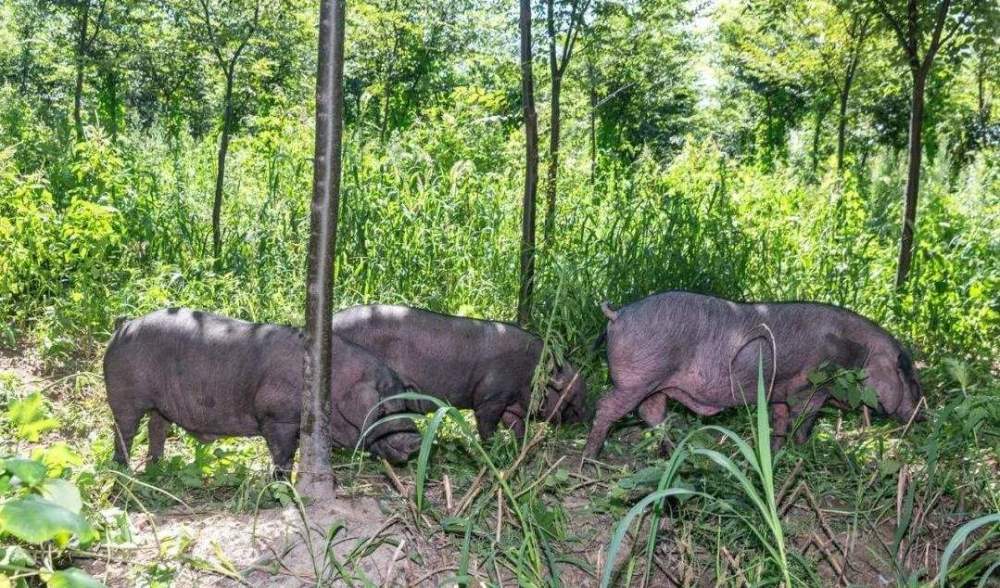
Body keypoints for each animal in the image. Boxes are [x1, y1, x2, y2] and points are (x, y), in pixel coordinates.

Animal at [103, 310, 424, 476]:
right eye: (383, 408)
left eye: (405, 405)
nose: (416, 440)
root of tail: (123, 326)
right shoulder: (276, 417)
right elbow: (283, 454)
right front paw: (282, 485)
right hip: (124, 395)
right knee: (124, 430)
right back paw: (124, 470)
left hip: (160, 405)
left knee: (157, 426)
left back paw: (157, 467)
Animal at [332, 306, 588, 438]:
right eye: (573, 394)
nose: (587, 417)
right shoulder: (490, 397)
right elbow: (486, 424)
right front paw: (492, 448)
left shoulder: (510, 404)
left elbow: (517, 425)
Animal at [584, 292, 924, 458]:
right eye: (909, 377)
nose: (922, 416)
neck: (852, 353)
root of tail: (617, 315)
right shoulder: (809, 388)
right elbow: (803, 423)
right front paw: (804, 453)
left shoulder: (779, 393)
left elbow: (780, 423)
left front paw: (774, 453)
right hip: (638, 378)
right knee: (607, 406)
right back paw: (592, 457)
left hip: (655, 383)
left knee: (652, 412)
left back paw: (674, 452)